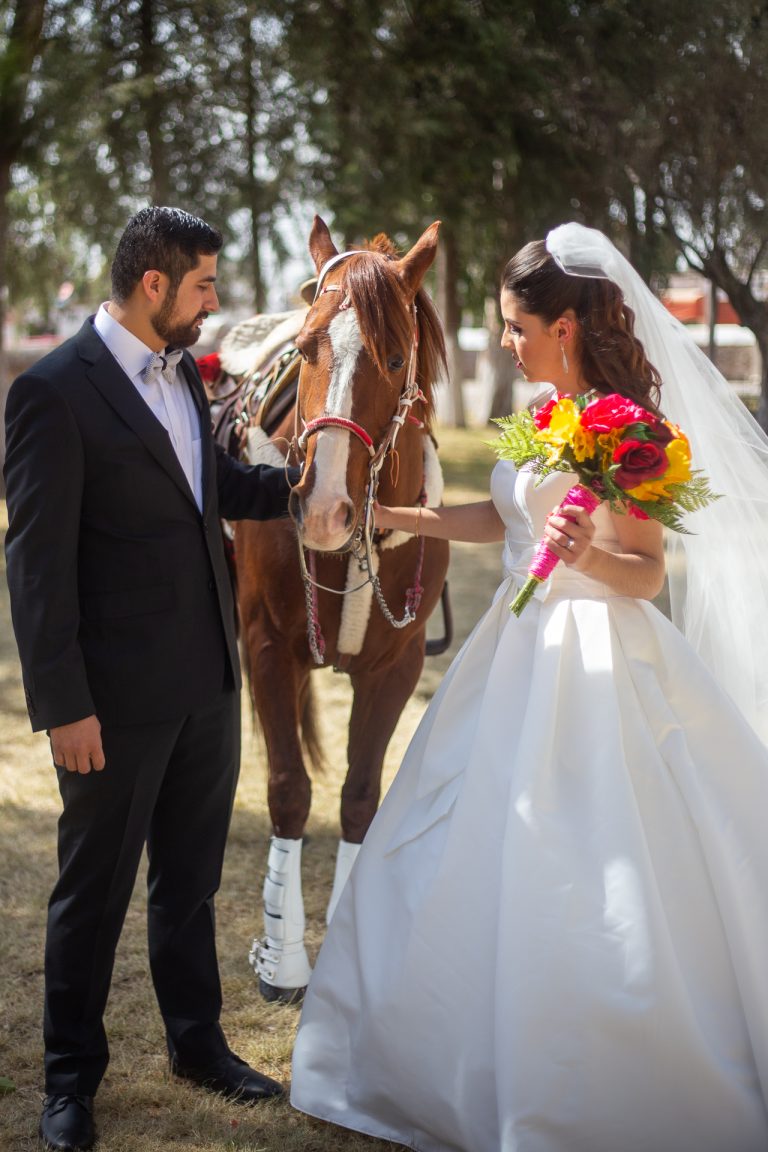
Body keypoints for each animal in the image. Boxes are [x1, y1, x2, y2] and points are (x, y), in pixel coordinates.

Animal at [216, 214, 451, 999]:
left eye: (393, 354)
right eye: (307, 346)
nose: (320, 507)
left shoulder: (396, 669)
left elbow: (359, 798)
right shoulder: (266, 648)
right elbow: (289, 789)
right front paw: (283, 956)